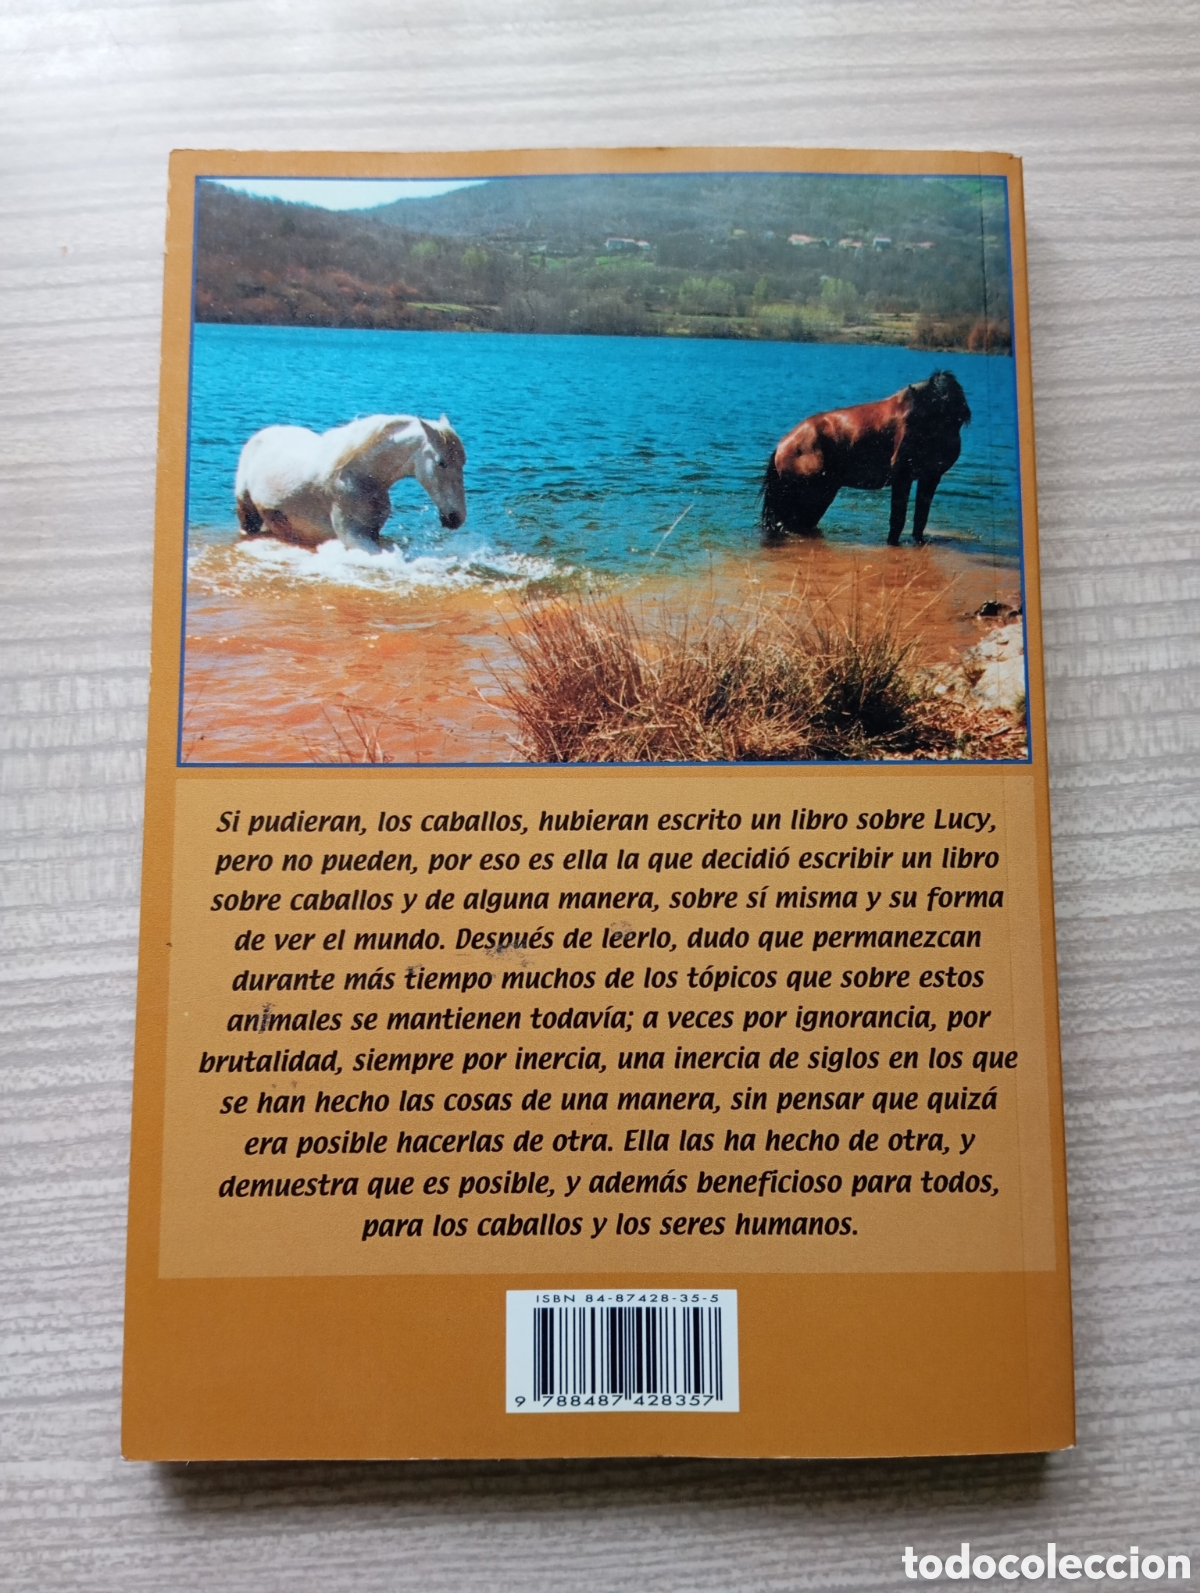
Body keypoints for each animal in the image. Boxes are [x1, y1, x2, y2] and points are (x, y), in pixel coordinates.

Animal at [234, 413, 467, 554]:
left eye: (463, 462)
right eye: (441, 462)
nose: (456, 518)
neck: (360, 476)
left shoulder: (372, 532)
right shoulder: (353, 536)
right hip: (248, 516)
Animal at [760, 370, 970, 545]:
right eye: (911, 418)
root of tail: (781, 447)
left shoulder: (931, 476)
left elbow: (921, 516)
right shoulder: (902, 475)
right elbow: (898, 517)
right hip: (808, 496)